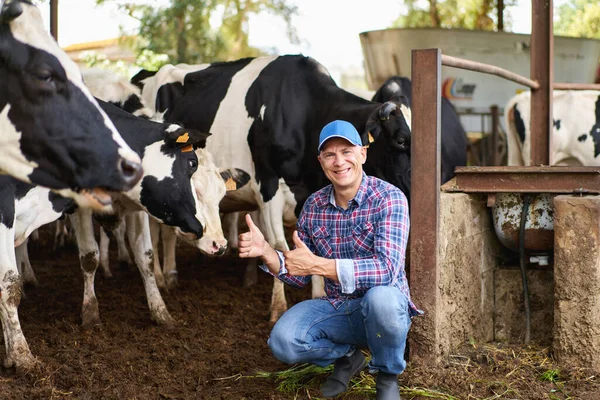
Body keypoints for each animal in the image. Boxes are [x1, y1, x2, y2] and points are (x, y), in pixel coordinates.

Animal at [129, 54, 420, 322]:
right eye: (401, 140)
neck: (305, 114)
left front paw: (317, 296)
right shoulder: (268, 188)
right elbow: (279, 246)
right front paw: (278, 308)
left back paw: (171, 276)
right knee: (157, 231)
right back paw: (162, 277)